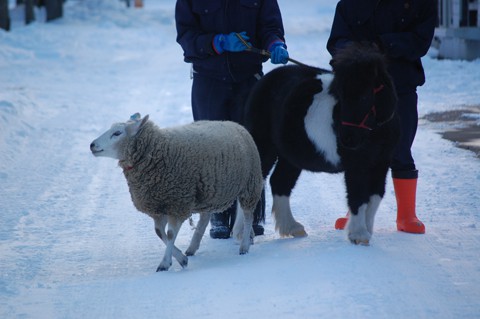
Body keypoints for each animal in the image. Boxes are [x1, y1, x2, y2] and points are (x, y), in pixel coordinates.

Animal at [90, 114, 262, 272]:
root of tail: (234, 124)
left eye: (117, 133)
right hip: (210, 192)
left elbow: (170, 234)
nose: (92, 145)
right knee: (205, 218)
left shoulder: (177, 202)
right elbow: (160, 233)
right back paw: (192, 247)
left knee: (248, 215)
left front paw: (165, 263)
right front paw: (182, 259)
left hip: (249, 184)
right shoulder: (159, 206)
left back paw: (244, 245)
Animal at [246, 43, 400, 245]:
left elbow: (374, 198)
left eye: (364, 97)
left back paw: (292, 227)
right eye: (341, 95)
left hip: (290, 158)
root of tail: (262, 83)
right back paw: (244, 235)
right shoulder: (356, 167)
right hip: (263, 149)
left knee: (280, 183)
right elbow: (358, 197)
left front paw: (366, 230)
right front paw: (358, 234)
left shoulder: (381, 163)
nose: (347, 140)